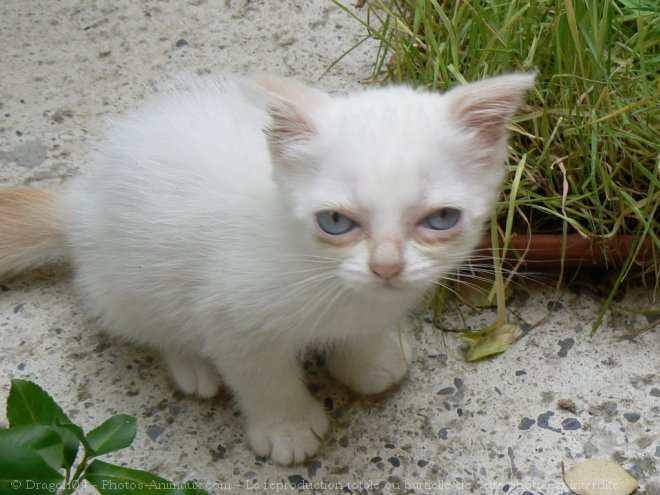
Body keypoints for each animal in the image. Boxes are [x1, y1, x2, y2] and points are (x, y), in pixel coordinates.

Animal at [0, 72, 532, 464]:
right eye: (335, 221)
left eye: (441, 219)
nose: (386, 266)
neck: (322, 278)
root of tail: (78, 203)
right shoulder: (233, 321)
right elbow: (262, 378)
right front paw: (287, 428)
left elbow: (357, 337)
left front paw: (367, 363)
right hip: (130, 279)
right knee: (150, 323)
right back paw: (191, 365)